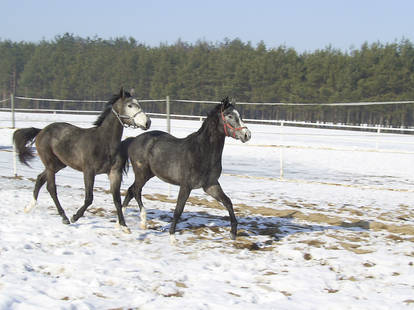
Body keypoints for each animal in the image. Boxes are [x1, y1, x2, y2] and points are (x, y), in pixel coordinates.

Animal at [11, 88, 152, 232]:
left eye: (138, 103)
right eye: (130, 105)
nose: (148, 122)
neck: (104, 142)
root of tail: (41, 131)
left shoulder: (114, 173)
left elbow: (117, 199)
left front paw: (124, 226)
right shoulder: (89, 171)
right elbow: (89, 198)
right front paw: (75, 217)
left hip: (58, 164)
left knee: (40, 179)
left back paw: (29, 207)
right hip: (50, 163)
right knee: (51, 188)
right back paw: (64, 217)